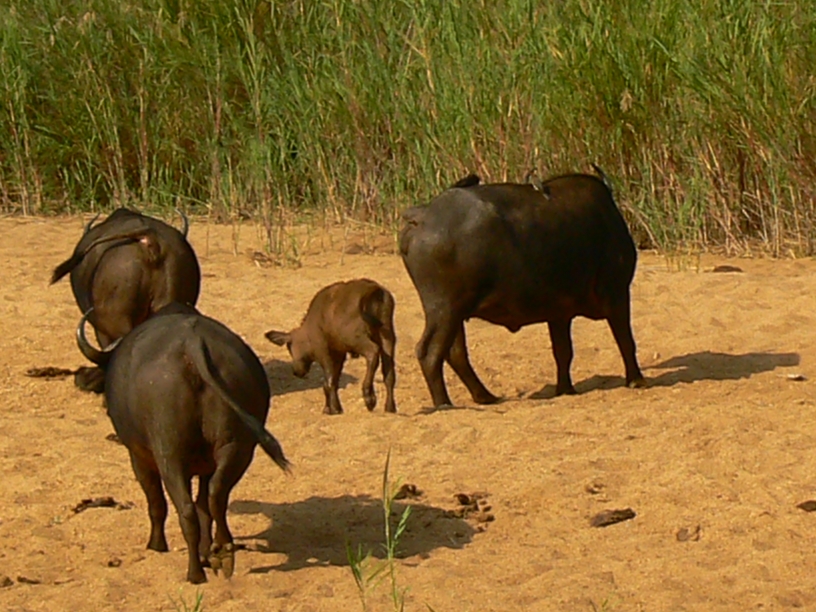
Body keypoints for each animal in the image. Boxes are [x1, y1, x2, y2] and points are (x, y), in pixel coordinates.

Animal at [77, 303, 290, 583]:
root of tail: (192, 345)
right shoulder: (207, 466)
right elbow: (204, 507)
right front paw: (207, 551)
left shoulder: (139, 457)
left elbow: (157, 503)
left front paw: (157, 545)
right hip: (238, 447)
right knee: (215, 495)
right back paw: (222, 551)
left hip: (170, 454)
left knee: (186, 510)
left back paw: (195, 572)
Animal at [265, 278, 397, 414]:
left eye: (289, 348)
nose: (297, 372)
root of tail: (374, 290)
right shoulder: (340, 353)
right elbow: (333, 380)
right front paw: (329, 407)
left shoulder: (325, 352)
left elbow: (329, 381)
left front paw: (334, 408)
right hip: (387, 335)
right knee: (389, 373)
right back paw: (390, 406)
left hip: (355, 338)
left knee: (373, 352)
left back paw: (369, 397)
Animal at [399, 166, 646, 408]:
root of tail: (423, 216)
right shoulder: (618, 294)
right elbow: (626, 340)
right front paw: (636, 380)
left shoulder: (559, 313)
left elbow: (563, 351)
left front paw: (565, 389)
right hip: (444, 309)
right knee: (430, 353)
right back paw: (444, 403)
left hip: (454, 313)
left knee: (455, 353)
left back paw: (485, 396)